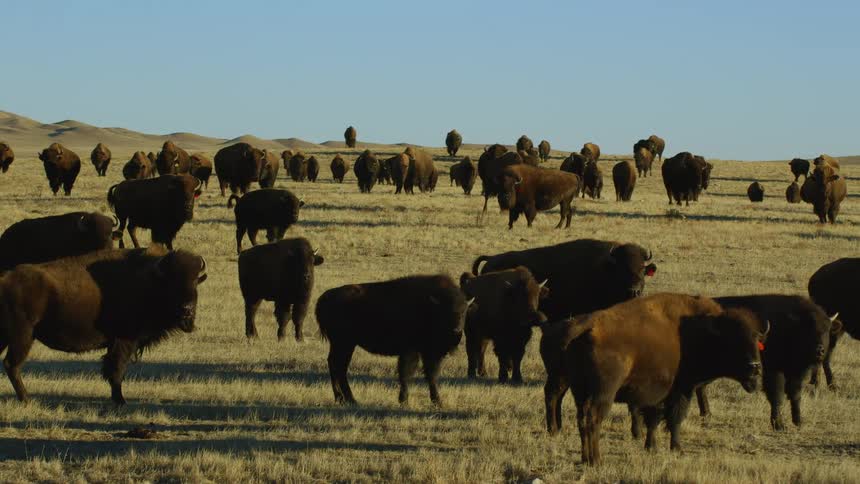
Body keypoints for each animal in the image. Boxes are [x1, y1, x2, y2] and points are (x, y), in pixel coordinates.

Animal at [0, 247, 207, 405]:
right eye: (172, 282)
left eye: (195, 280)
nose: (187, 309)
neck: (150, 279)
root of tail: (4, 280)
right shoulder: (124, 340)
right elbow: (116, 369)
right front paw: (120, 401)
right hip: (23, 336)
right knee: (12, 365)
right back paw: (27, 400)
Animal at [315, 274, 474, 406]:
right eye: (446, 312)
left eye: (464, 311)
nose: (456, 331)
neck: (430, 306)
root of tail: (325, 298)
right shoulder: (411, 351)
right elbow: (406, 373)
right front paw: (404, 400)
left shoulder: (430, 353)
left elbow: (432, 376)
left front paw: (437, 402)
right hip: (344, 343)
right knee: (338, 366)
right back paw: (349, 399)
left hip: (344, 345)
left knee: (336, 365)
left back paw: (342, 399)